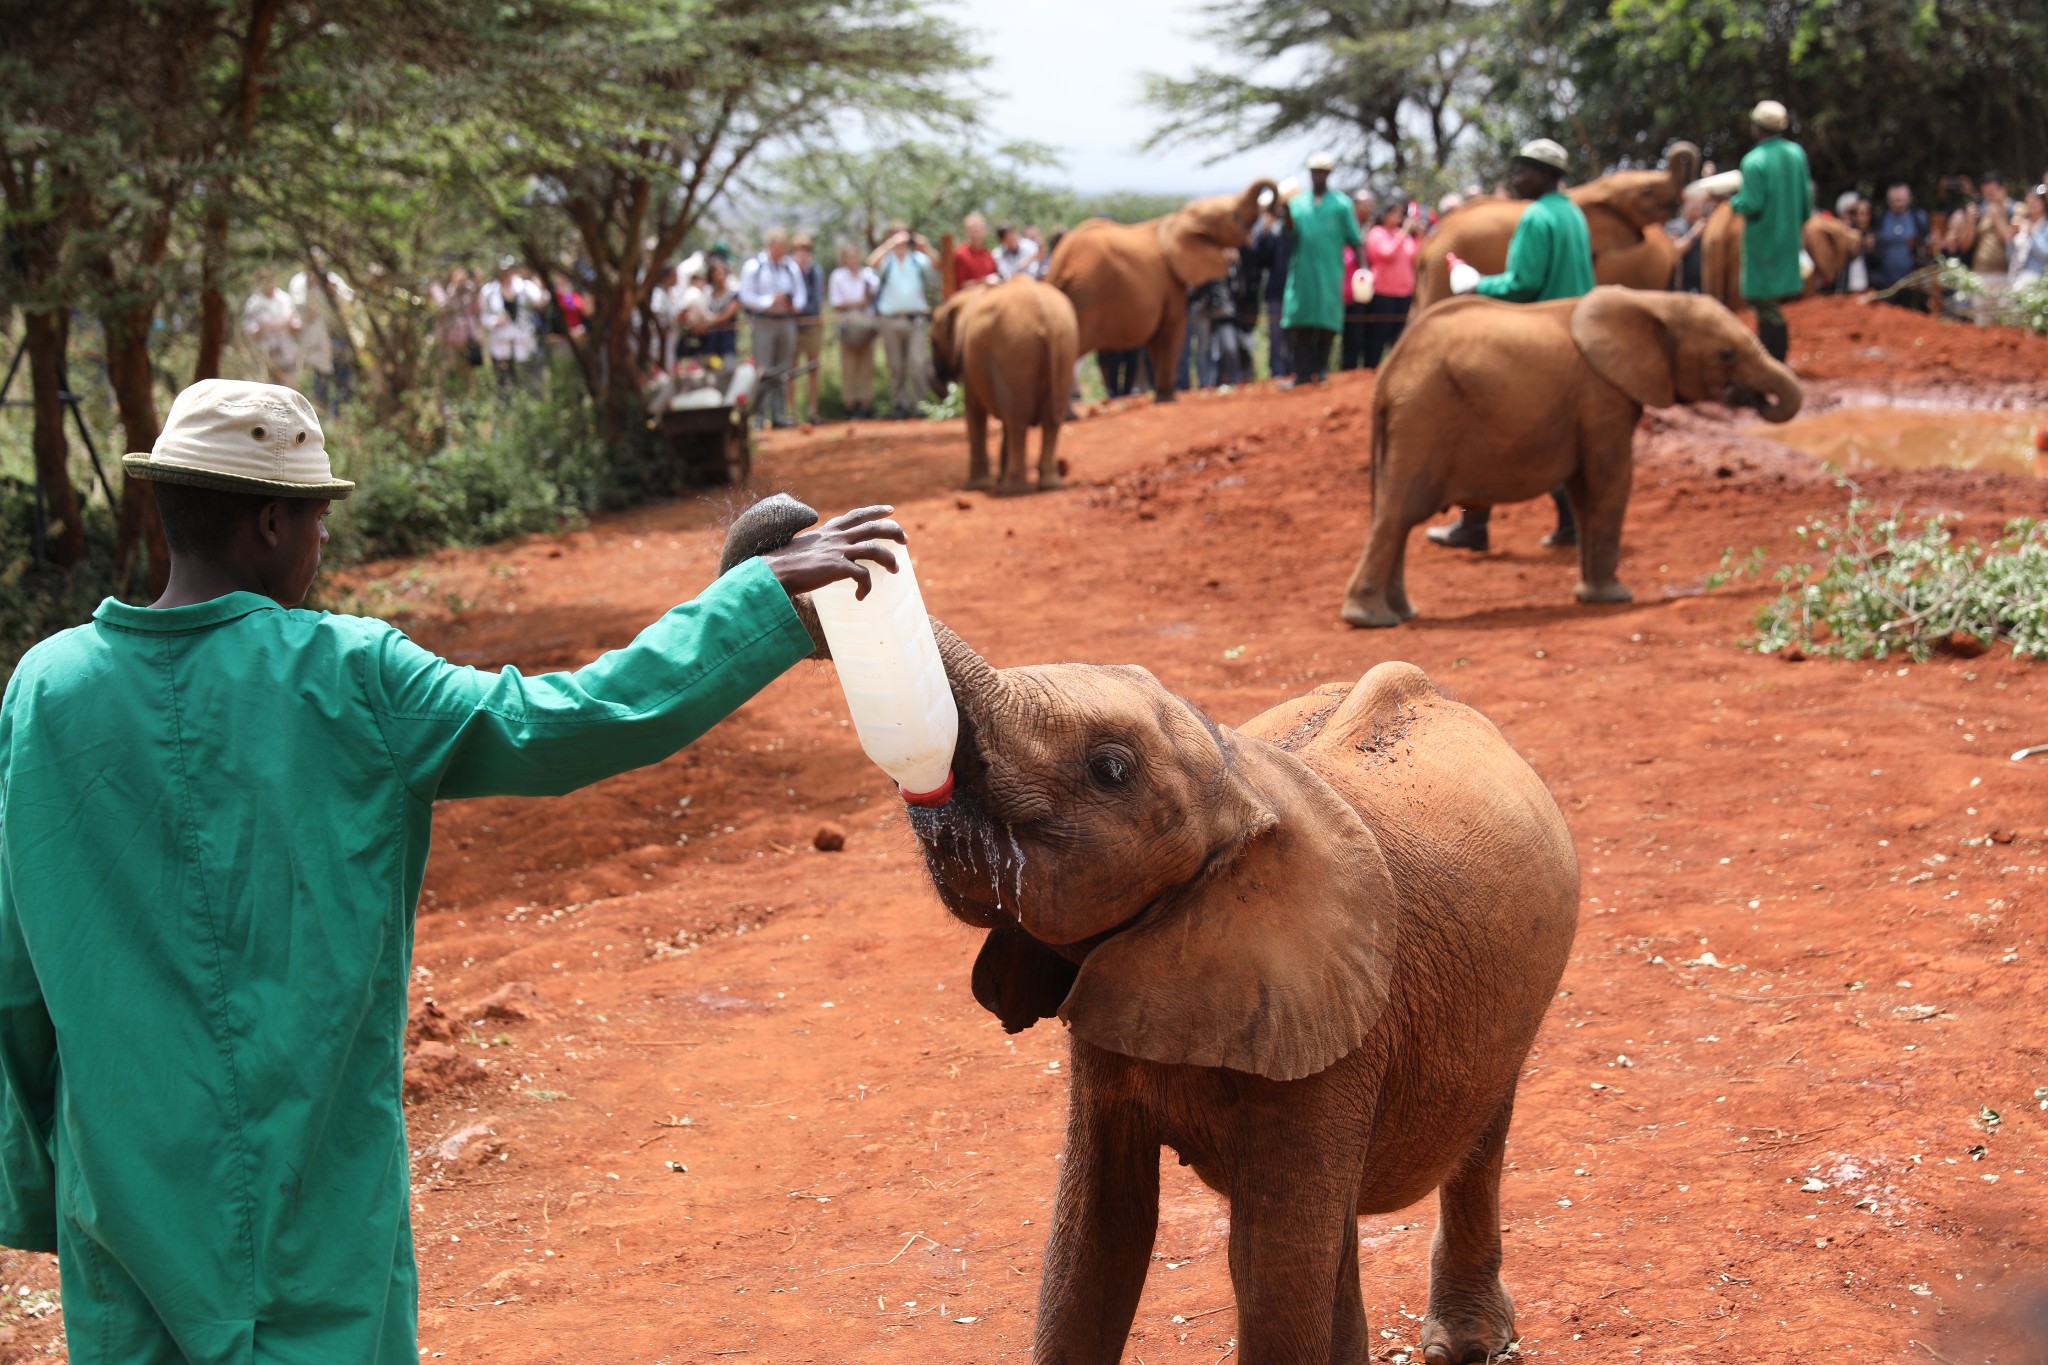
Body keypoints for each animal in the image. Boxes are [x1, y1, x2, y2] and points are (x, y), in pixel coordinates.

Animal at [905, 634, 1572, 1365]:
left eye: (1111, 769)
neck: (1239, 789)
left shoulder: (1334, 1031)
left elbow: (1272, 1265)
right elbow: (1094, 1234)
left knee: (1478, 1141)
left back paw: (1469, 1344)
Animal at [933, 274, 1081, 493]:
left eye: (933, 343)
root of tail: (1046, 316)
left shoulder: (972, 361)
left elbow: (974, 411)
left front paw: (976, 486)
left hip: (1015, 348)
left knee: (1017, 419)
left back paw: (1012, 490)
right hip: (1064, 347)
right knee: (1051, 418)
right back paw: (1049, 485)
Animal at [1048, 178, 1269, 401]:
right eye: (1236, 216)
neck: (1179, 218)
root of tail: (1059, 263)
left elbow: (1157, 339)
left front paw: (1163, 397)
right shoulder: (1170, 283)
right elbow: (1171, 330)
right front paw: (1169, 399)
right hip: (1085, 295)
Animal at [1351, 290, 1802, 634]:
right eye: (1726, 355)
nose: (1751, 398)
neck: (1653, 301)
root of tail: (1387, 374)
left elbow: (1587, 492)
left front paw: (1592, 596)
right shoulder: (1603, 396)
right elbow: (1611, 479)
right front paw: (1615, 597)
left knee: (1393, 517)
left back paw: (1401, 614)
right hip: (1425, 416)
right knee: (1398, 514)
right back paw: (1370, 620)